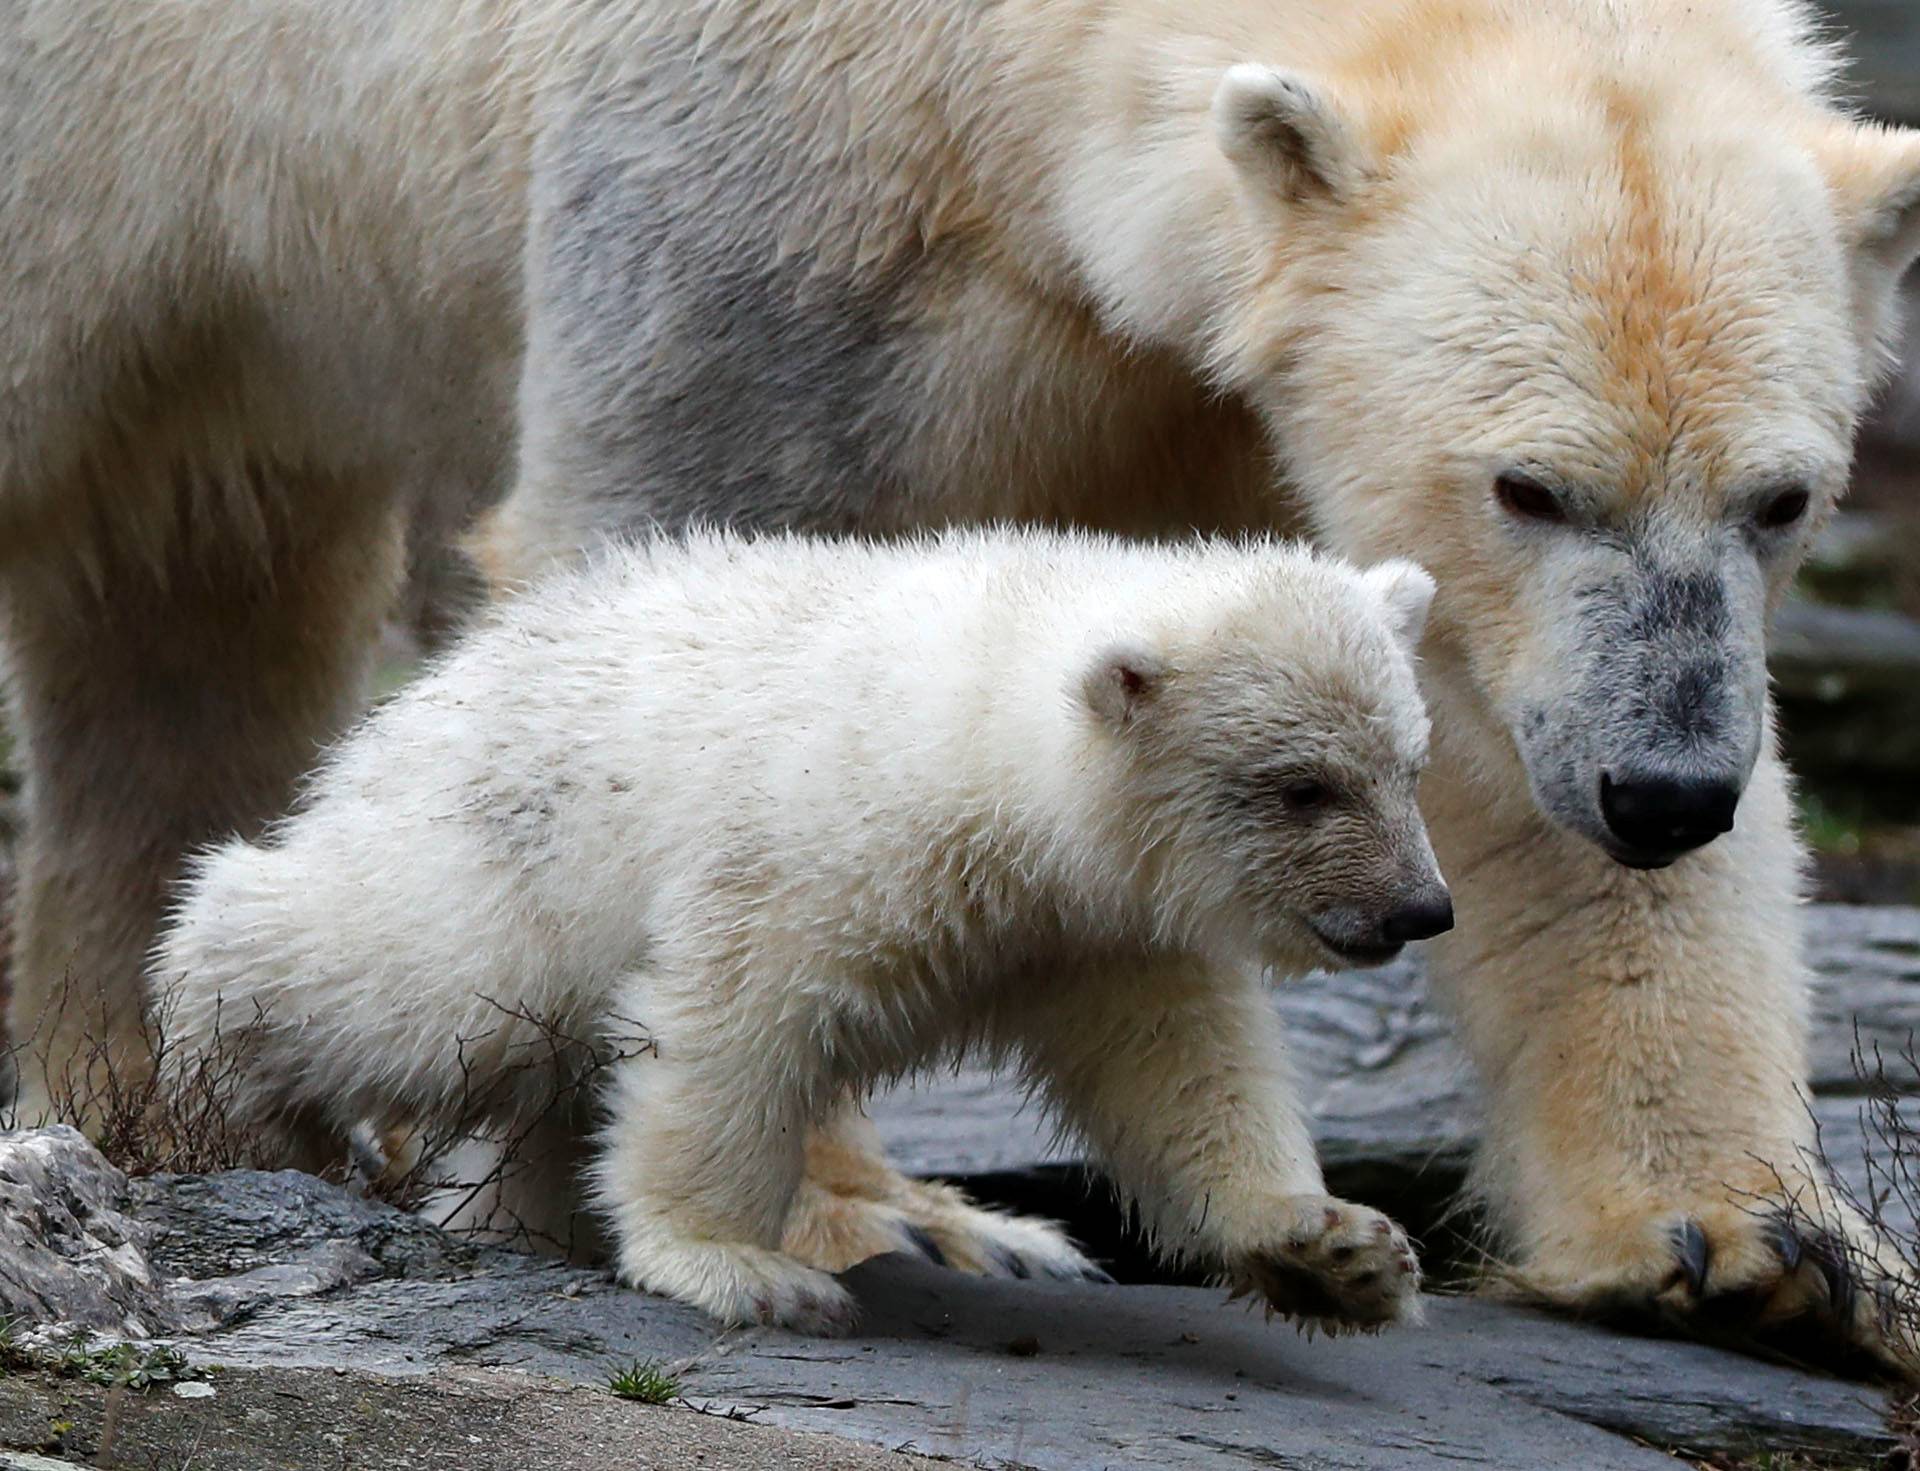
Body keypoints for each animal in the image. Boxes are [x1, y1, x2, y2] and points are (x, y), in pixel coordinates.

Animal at [3, 0, 1920, 1359]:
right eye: (1530, 484)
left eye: (1784, 495)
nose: (1663, 788)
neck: (987, 84)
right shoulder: (766, 213)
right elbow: (728, 624)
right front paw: (859, 1212)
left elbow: (1449, 719)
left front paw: (1759, 1246)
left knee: (193, 601)